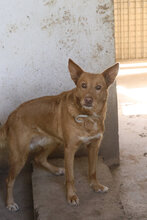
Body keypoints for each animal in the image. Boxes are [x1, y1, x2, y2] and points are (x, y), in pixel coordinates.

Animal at [0, 59, 119, 211]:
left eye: (98, 87)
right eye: (83, 85)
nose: (88, 100)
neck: (87, 117)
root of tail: (11, 115)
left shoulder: (94, 146)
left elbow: (92, 170)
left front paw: (96, 186)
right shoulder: (69, 149)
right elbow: (70, 177)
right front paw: (71, 196)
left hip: (54, 141)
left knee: (39, 158)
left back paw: (56, 170)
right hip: (19, 156)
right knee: (9, 180)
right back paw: (10, 203)